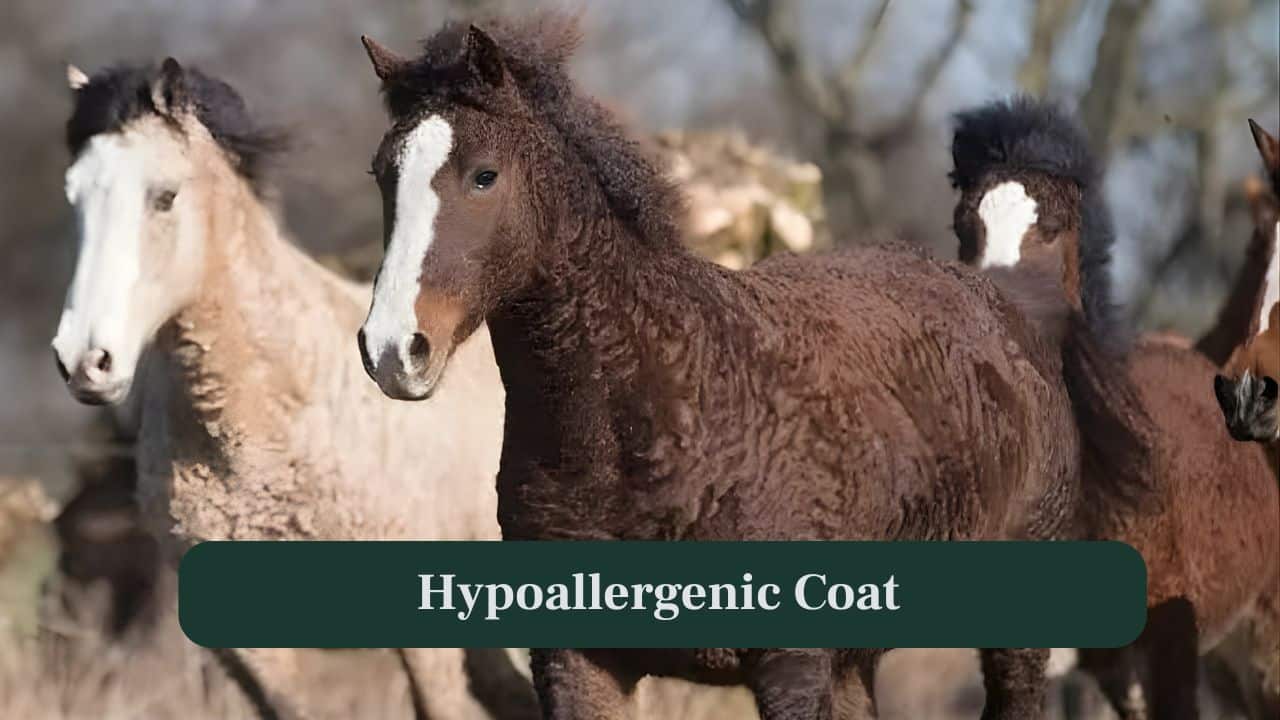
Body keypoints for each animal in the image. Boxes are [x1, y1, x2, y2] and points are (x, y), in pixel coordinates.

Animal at [353, 14, 1145, 719]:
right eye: (383, 174)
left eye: (484, 176)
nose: (394, 348)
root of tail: (1012, 305)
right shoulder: (577, 664)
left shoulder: (789, 667)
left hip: (1016, 641)